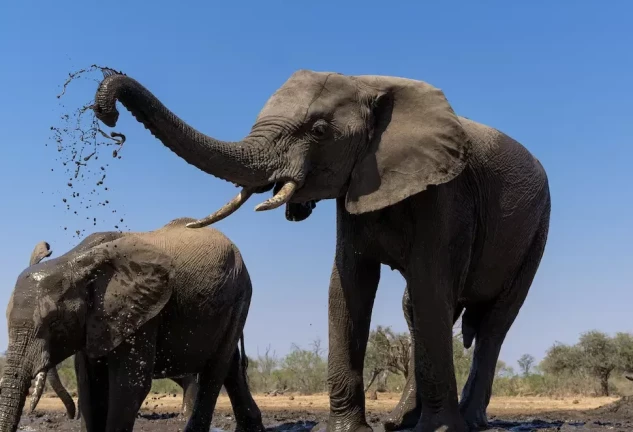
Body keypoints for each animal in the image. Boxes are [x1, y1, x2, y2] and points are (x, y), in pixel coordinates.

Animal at [0, 219, 262, 432]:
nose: (48, 246)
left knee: (216, 368)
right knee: (231, 365)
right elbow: (89, 385)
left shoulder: (144, 313)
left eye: (54, 321)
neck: (74, 260)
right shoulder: (96, 321)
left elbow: (128, 385)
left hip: (240, 294)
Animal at [91, 69, 552, 430]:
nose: (108, 113)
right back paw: (399, 421)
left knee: (492, 322)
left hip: (538, 228)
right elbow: (348, 286)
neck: (370, 84)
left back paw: (467, 421)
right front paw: (344, 429)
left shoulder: (444, 196)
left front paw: (437, 431)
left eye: (317, 131)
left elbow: (429, 287)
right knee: (418, 312)